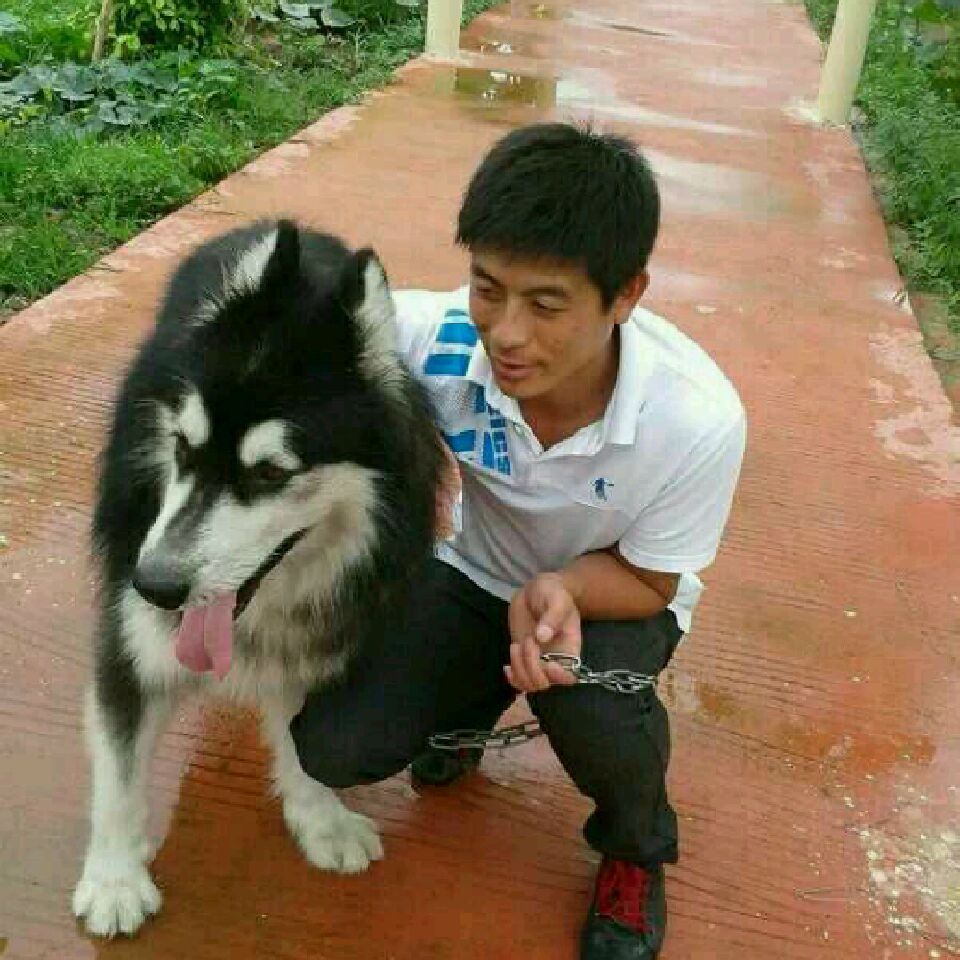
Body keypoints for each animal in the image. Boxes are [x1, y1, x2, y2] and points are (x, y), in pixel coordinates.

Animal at [72, 219, 445, 937]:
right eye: (183, 450)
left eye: (271, 473)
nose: (153, 585)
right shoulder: (131, 645)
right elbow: (118, 772)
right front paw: (114, 876)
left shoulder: (322, 635)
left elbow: (306, 737)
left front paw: (318, 816)